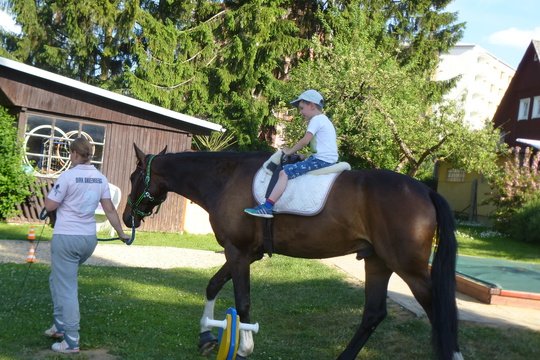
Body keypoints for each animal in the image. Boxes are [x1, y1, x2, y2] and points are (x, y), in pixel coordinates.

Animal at [123, 145, 464, 360]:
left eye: (133, 177)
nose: (127, 218)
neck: (227, 179)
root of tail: (426, 190)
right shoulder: (244, 253)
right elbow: (212, 285)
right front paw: (206, 337)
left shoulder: (238, 253)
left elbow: (242, 302)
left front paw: (244, 347)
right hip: (378, 262)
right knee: (373, 314)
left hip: (410, 269)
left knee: (439, 312)